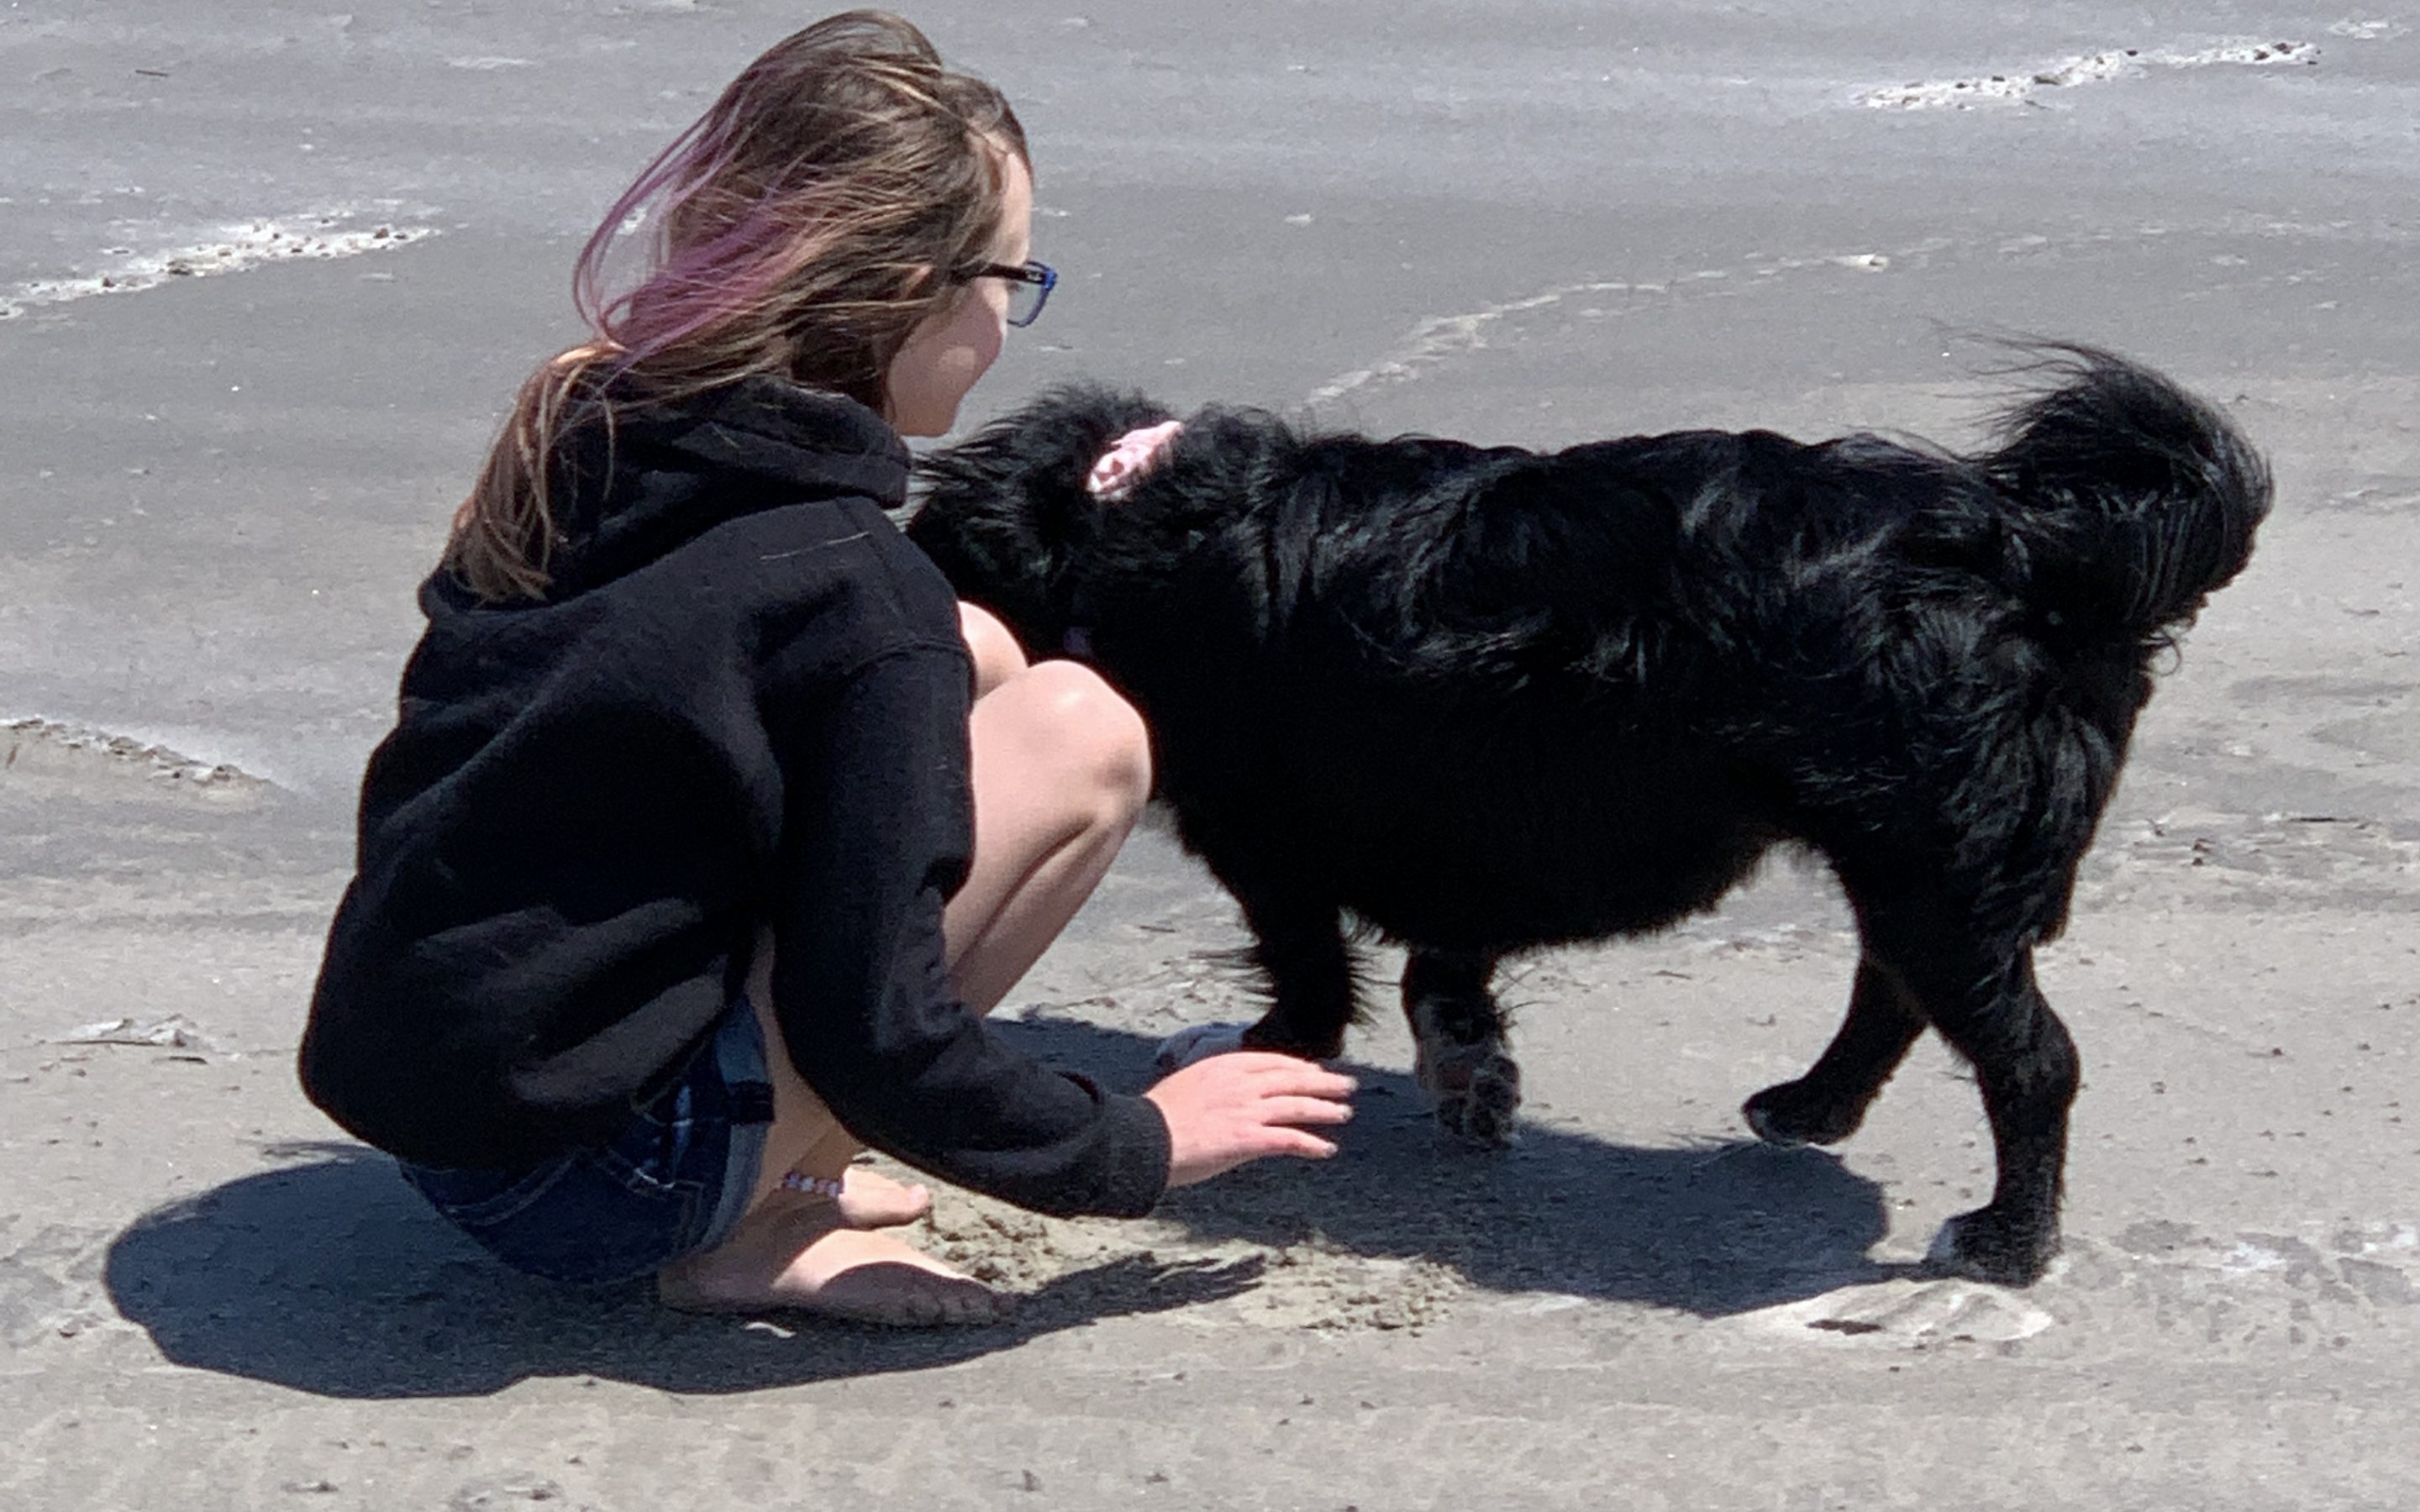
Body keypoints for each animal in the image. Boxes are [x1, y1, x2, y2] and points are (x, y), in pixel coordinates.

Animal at [909, 348, 2265, 1277]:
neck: (1122, 532)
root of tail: (2036, 547)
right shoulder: (1452, 822)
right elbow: (1440, 969)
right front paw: (1469, 1070)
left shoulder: (1268, 844)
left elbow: (1312, 976)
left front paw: (1267, 1052)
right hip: (1910, 860)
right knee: (1895, 990)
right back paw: (1812, 1107)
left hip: (1938, 866)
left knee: (2029, 1058)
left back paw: (2007, 1240)